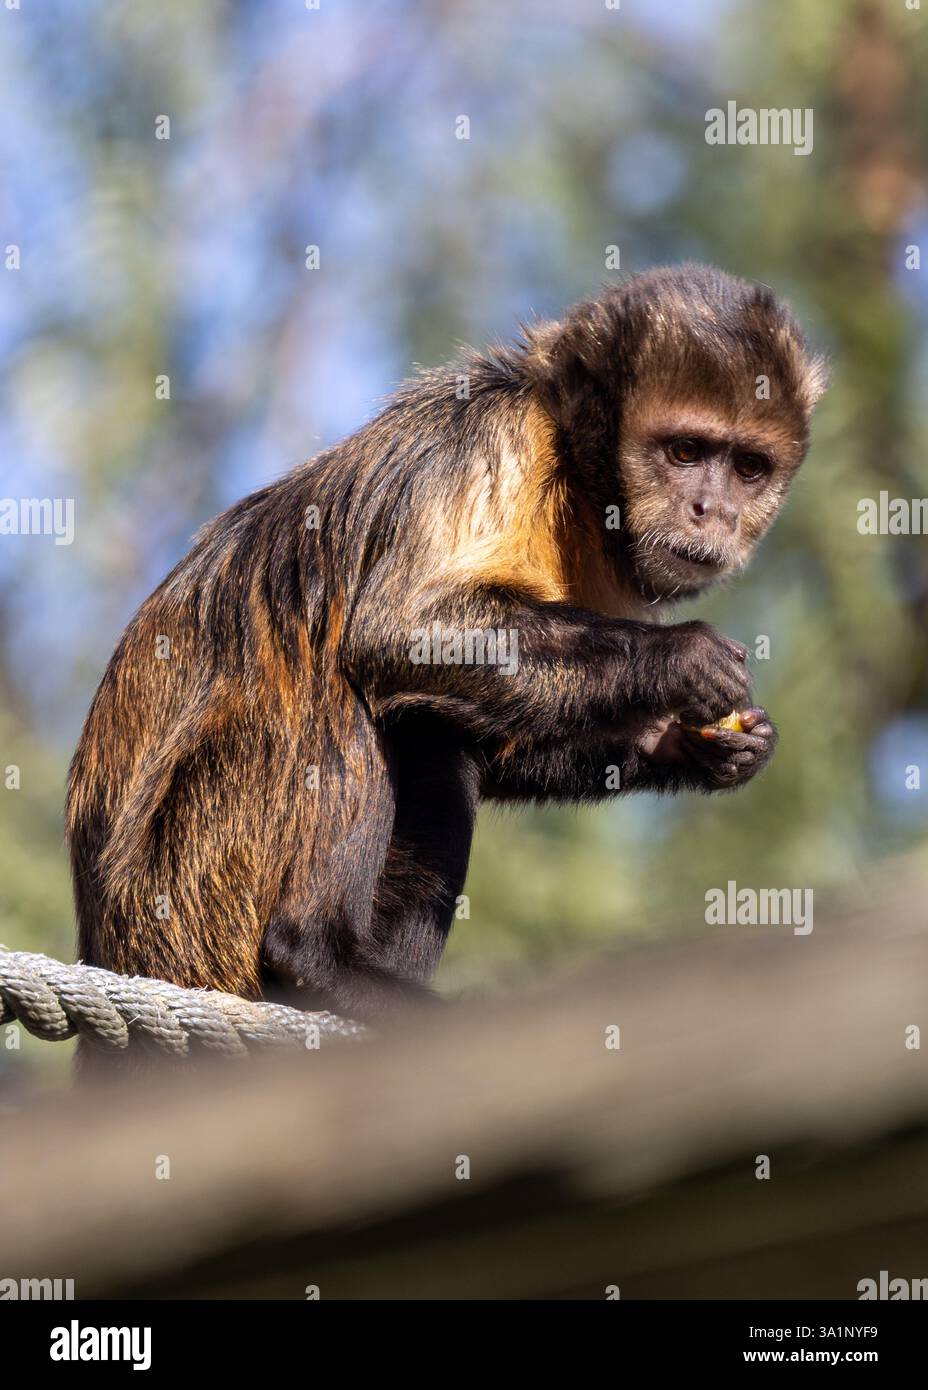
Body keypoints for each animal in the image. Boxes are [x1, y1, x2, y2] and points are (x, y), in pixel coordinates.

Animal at [65, 264, 827, 1033]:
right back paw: (313, 956)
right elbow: (402, 631)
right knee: (336, 679)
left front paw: (706, 747)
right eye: (685, 453)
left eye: (749, 468)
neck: (570, 472)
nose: (715, 511)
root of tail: (111, 940)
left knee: (433, 731)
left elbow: (494, 734)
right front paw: (680, 657)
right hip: (190, 893)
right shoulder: (492, 438)